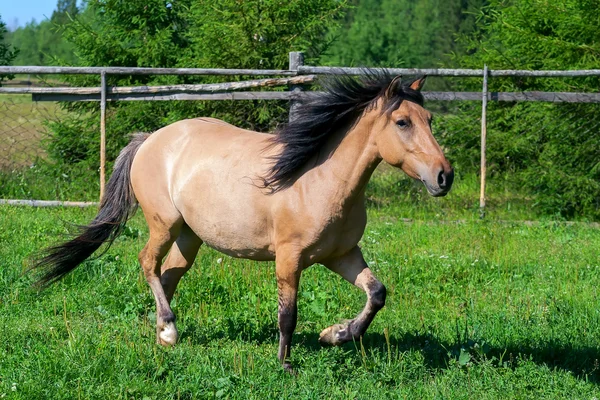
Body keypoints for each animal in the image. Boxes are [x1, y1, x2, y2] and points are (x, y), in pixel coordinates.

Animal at [32, 71, 452, 372]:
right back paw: (167, 326)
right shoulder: (289, 258)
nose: (444, 176)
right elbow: (288, 315)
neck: (318, 179)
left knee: (168, 275)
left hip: (190, 237)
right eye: (402, 122)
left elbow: (377, 294)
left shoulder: (342, 255)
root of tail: (150, 139)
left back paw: (164, 334)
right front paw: (285, 366)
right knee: (148, 263)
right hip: (164, 225)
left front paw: (335, 334)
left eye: (429, 119)